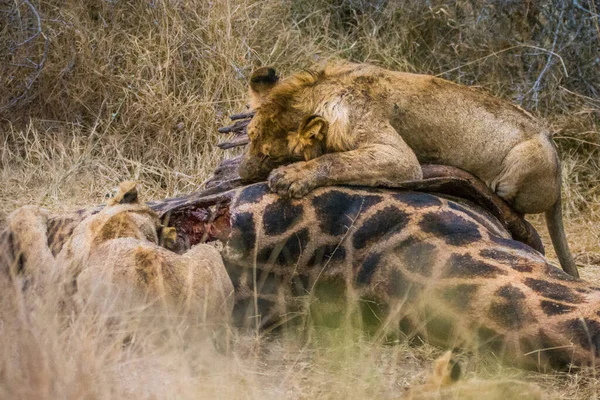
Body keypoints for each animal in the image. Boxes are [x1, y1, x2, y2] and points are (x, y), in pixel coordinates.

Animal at [237, 60, 580, 278]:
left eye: (268, 155)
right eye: (250, 137)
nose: (242, 175)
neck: (325, 92)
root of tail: (552, 144)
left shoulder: (400, 157)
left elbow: (334, 160)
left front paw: (291, 177)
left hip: (520, 167)